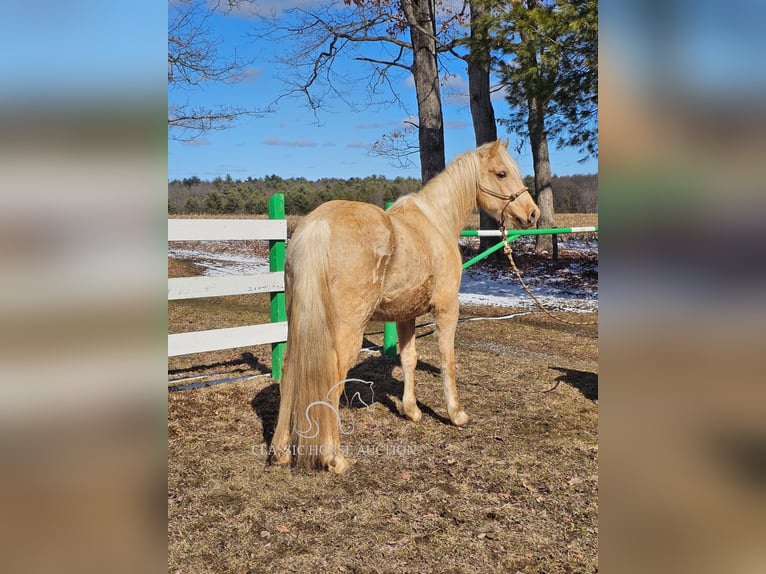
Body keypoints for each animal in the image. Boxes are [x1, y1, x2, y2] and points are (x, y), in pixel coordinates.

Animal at [270, 140, 540, 472]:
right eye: (501, 173)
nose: (532, 213)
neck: (435, 223)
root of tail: (318, 225)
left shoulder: (405, 315)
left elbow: (409, 358)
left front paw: (411, 411)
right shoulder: (447, 309)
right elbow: (447, 359)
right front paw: (456, 414)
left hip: (298, 324)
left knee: (289, 372)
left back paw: (281, 451)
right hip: (346, 331)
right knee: (332, 378)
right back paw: (334, 458)